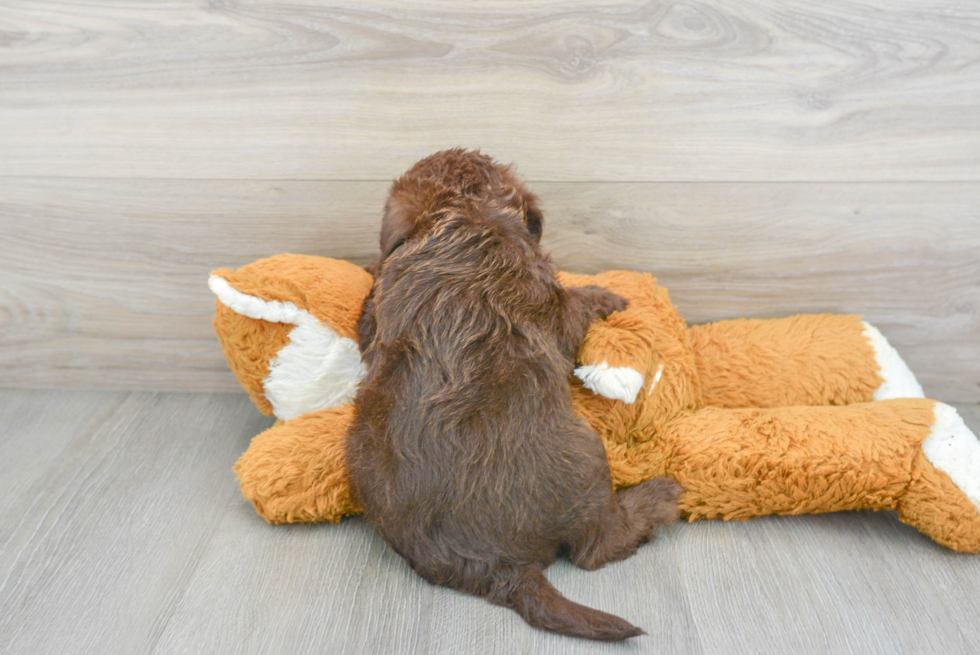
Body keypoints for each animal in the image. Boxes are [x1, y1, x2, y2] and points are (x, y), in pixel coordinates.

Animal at [346, 149, 680, 640]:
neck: (461, 216)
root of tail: (497, 568)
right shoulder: (552, 305)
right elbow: (577, 302)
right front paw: (609, 296)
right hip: (586, 460)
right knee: (597, 546)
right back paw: (659, 496)